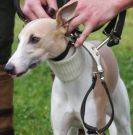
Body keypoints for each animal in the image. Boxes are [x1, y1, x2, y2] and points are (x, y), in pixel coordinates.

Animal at [4, 1, 131, 135]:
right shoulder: (60, 128)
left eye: (34, 39)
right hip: (74, 128)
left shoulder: (93, 128)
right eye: (18, 40)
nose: (8, 68)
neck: (71, 77)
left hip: (122, 119)